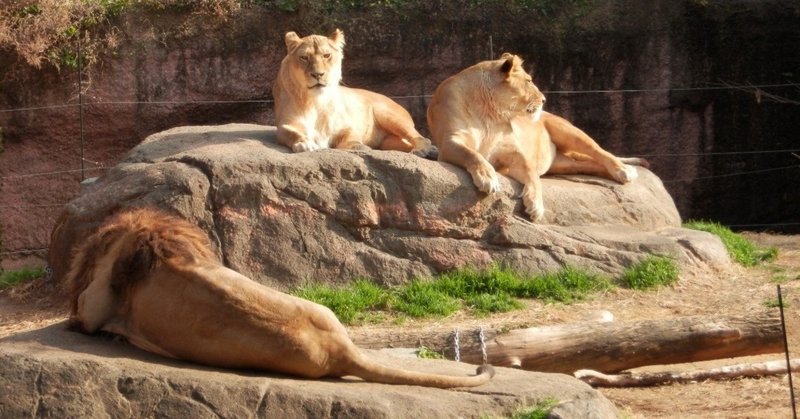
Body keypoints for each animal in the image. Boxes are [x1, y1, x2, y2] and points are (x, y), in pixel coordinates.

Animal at [274, 28, 438, 159]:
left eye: (327, 55)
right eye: (304, 57)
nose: (318, 74)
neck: (316, 102)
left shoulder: (347, 126)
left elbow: (350, 137)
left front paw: (359, 147)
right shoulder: (285, 124)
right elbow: (292, 133)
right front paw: (305, 143)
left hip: (388, 115)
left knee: (421, 138)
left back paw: (425, 151)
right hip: (388, 142)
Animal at [428, 54, 648, 221]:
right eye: (528, 81)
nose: (544, 99)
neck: (490, 113)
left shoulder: (512, 152)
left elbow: (530, 171)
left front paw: (535, 204)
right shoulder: (450, 142)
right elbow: (473, 154)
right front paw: (487, 176)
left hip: (567, 131)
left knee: (599, 151)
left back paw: (623, 170)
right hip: (564, 163)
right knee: (590, 164)